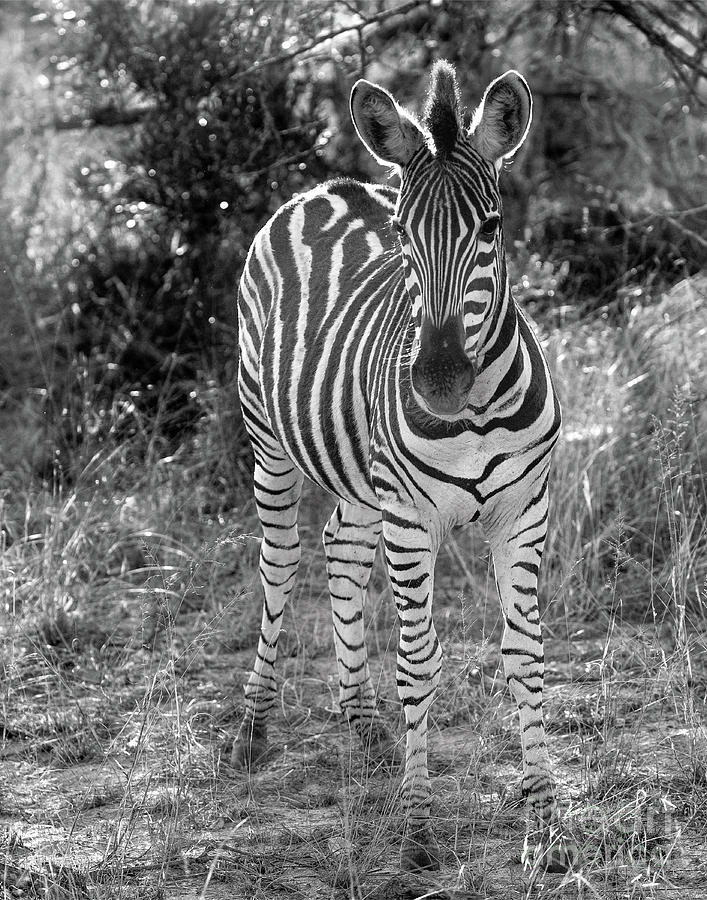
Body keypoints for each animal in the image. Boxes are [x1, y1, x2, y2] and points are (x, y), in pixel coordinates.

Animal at [234, 61, 568, 872]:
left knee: (341, 553)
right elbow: (418, 662)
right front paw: (417, 826)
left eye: (490, 229)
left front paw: (544, 822)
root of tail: (327, 185)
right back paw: (254, 723)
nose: (438, 381)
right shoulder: (413, 520)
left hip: (360, 476)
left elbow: (525, 656)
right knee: (281, 562)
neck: (475, 410)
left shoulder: (525, 512)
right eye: (402, 234)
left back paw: (361, 718)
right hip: (269, 439)